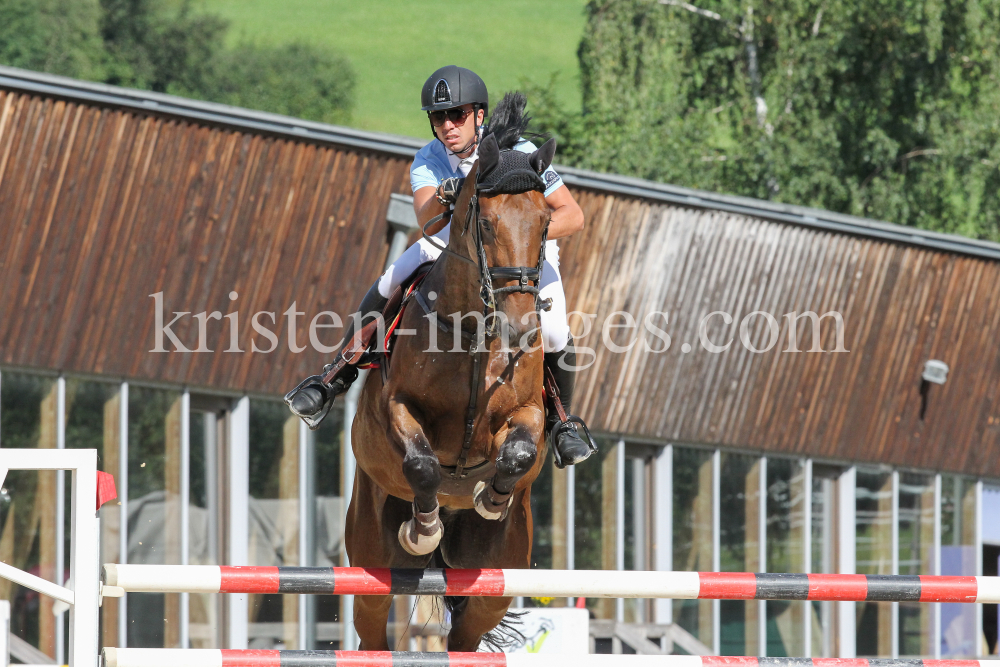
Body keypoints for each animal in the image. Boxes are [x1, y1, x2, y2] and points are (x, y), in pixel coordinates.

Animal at [346, 94, 560, 652]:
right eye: (484, 225)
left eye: (545, 224)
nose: (520, 328)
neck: (475, 332)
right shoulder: (396, 407)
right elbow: (422, 464)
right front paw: (423, 527)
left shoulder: (528, 412)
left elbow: (519, 451)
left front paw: (490, 498)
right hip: (370, 558)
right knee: (372, 625)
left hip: (495, 581)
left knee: (468, 633)